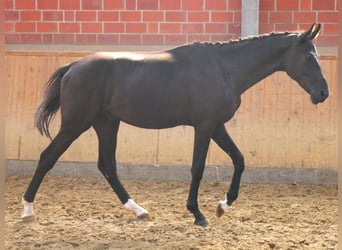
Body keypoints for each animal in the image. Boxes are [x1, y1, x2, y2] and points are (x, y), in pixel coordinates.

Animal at [21, 23, 328, 227]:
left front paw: (223, 206)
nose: (323, 93)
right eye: (309, 56)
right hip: (76, 124)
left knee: (107, 165)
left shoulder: (217, 126)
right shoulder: (204, 126)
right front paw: (198, 214)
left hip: (106, 123)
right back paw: (27, 210)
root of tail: (73, 66)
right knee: (48, 157)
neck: (223, 68)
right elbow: (198, 168)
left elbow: (239, 160)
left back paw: (139, 210)